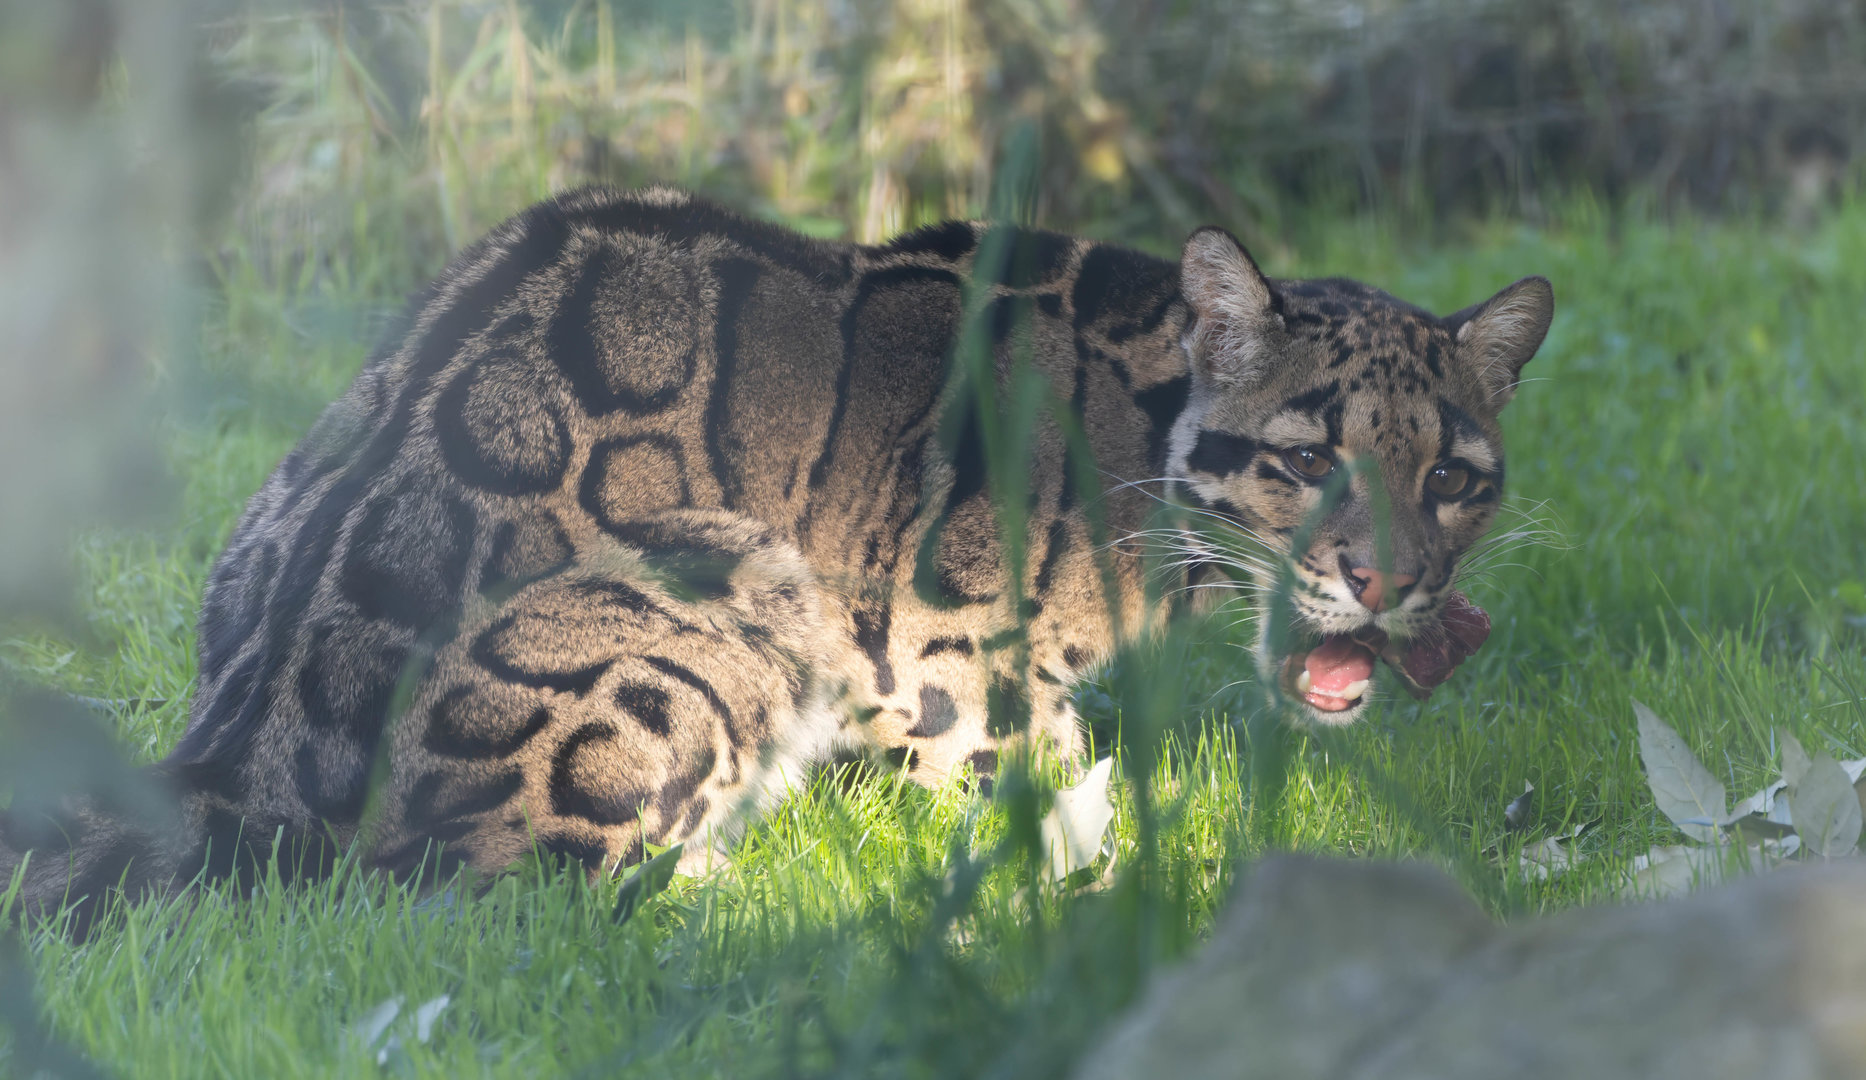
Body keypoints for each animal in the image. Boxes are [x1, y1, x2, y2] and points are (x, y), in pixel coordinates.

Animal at [0, 187, 1551, 933]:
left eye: (1453, 479)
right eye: (1305, 460)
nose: (1389, 583)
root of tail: (231, 752)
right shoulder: (944, 648)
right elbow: (1043, 793)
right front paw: (1092, 884)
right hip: (720, 598)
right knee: (490, 899)